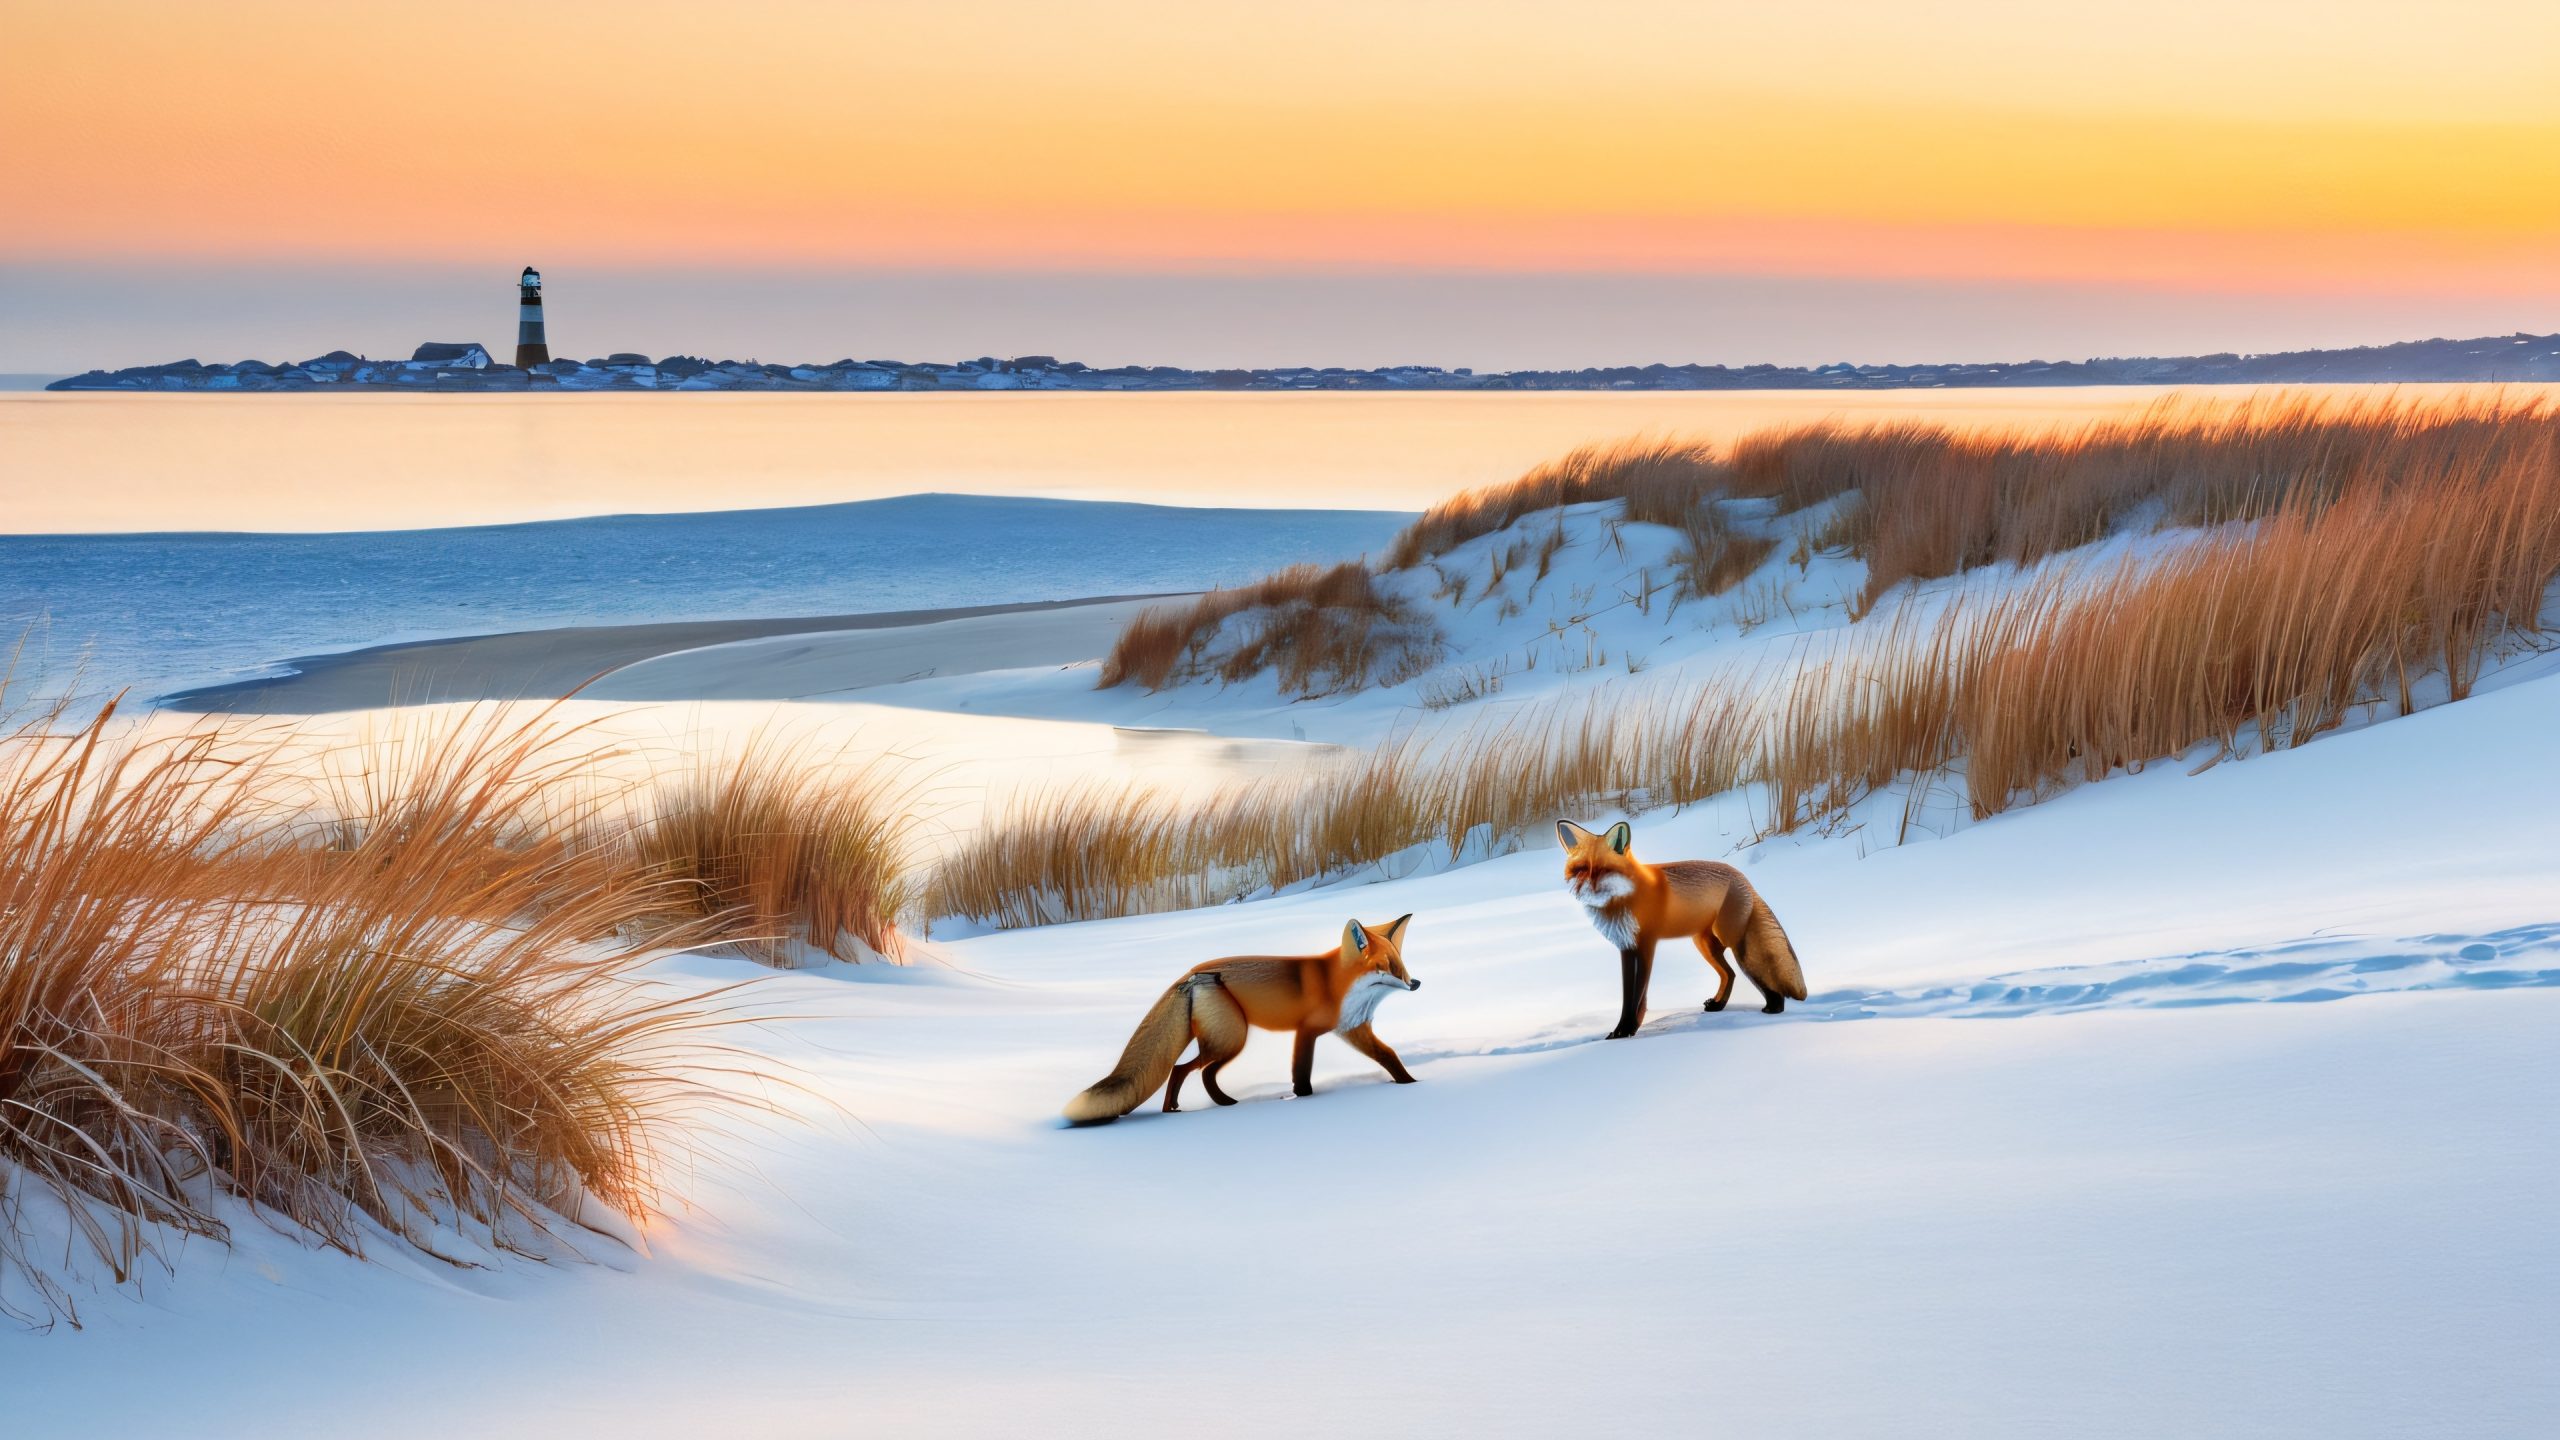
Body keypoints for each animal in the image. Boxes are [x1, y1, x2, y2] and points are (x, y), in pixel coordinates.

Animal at [1062, 915, 1421, 1124]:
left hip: (1226, 1040)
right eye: (1387, 967)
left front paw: (1409, 1084)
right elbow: (1301, 1071)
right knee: (1188, 1069)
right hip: (1232, 1039)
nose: (1415, 983)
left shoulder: (1352, 1029)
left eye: (1401, 965)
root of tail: (1191, 973)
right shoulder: (1306, 1032)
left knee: (1192, 1071)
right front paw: (1303, 1099)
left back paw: (1188, 1108)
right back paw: (1200, 1107)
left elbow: (1389, 1055)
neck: (1336, 984)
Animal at [1557, 819, 1806, 1039]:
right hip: (1704, 944)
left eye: (1603, 870)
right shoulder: (1626, 947)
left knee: (1753, 974)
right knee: (1730, 974)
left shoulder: (1646, 945)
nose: (1583, 889)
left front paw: (1628, 1029)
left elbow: (1638, 995)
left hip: (1735, 945)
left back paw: (1774, 1007)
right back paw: (1718, 1005)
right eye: (1579, 870)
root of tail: (1744, 878)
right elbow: (1629, 996)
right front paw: (1625, 1029)